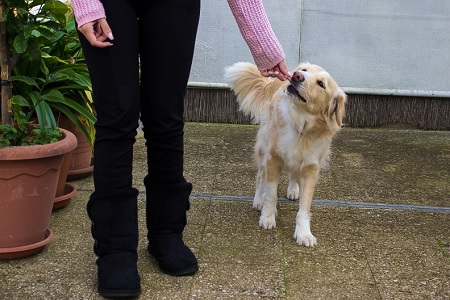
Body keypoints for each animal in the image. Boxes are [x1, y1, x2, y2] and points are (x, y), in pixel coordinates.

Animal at [223, 61, 346, 246]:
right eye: (304, 71)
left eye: (321, 84)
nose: (296, 75)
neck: (301, 125)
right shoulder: (272, 159)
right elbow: (271, 194)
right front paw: (267, 217)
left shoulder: (311, 168)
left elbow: (304, 207)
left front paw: (304, 233)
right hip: (263, 149)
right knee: (260, 177)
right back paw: (258, 200)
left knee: (293, 173)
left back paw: (293, 189)